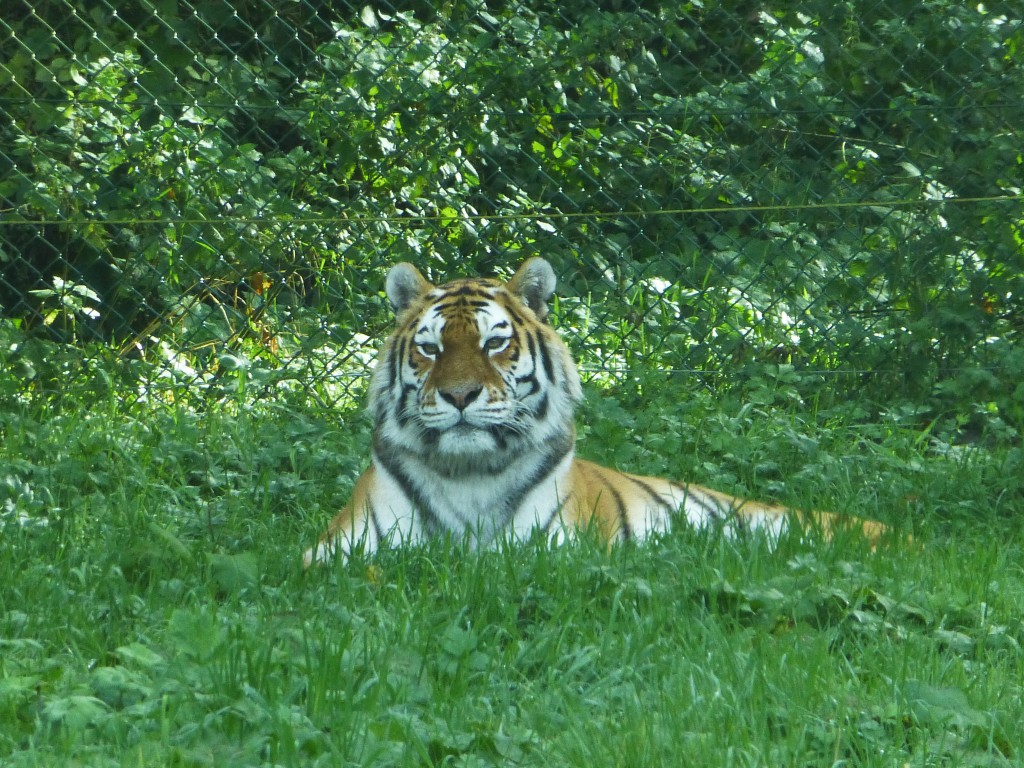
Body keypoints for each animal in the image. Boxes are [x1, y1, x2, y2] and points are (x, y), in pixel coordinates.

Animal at [303, 259, 888, 565]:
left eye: (495, 343)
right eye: (430, 348)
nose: (461, 395)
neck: (469, 474)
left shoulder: (557, 551)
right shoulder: (334, 552)